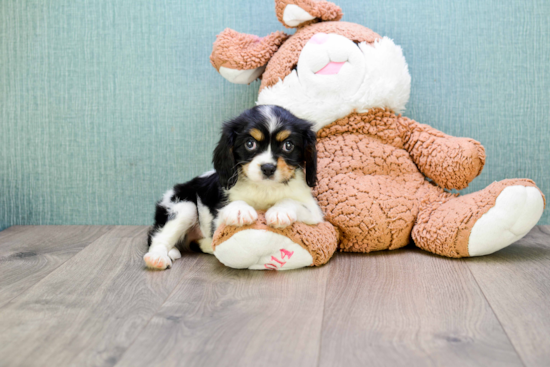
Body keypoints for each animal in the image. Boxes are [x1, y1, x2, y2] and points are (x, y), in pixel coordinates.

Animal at [144, 105, 326, 268]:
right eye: (250, 143)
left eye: (288, 145)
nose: (268, 167)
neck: (264, 188)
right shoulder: (217, 218)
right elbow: (232, 207)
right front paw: (240, 210)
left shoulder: (313, 211)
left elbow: (292, 202)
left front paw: (280, 211)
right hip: (183, 206)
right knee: (157, 238)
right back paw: (157, 258)